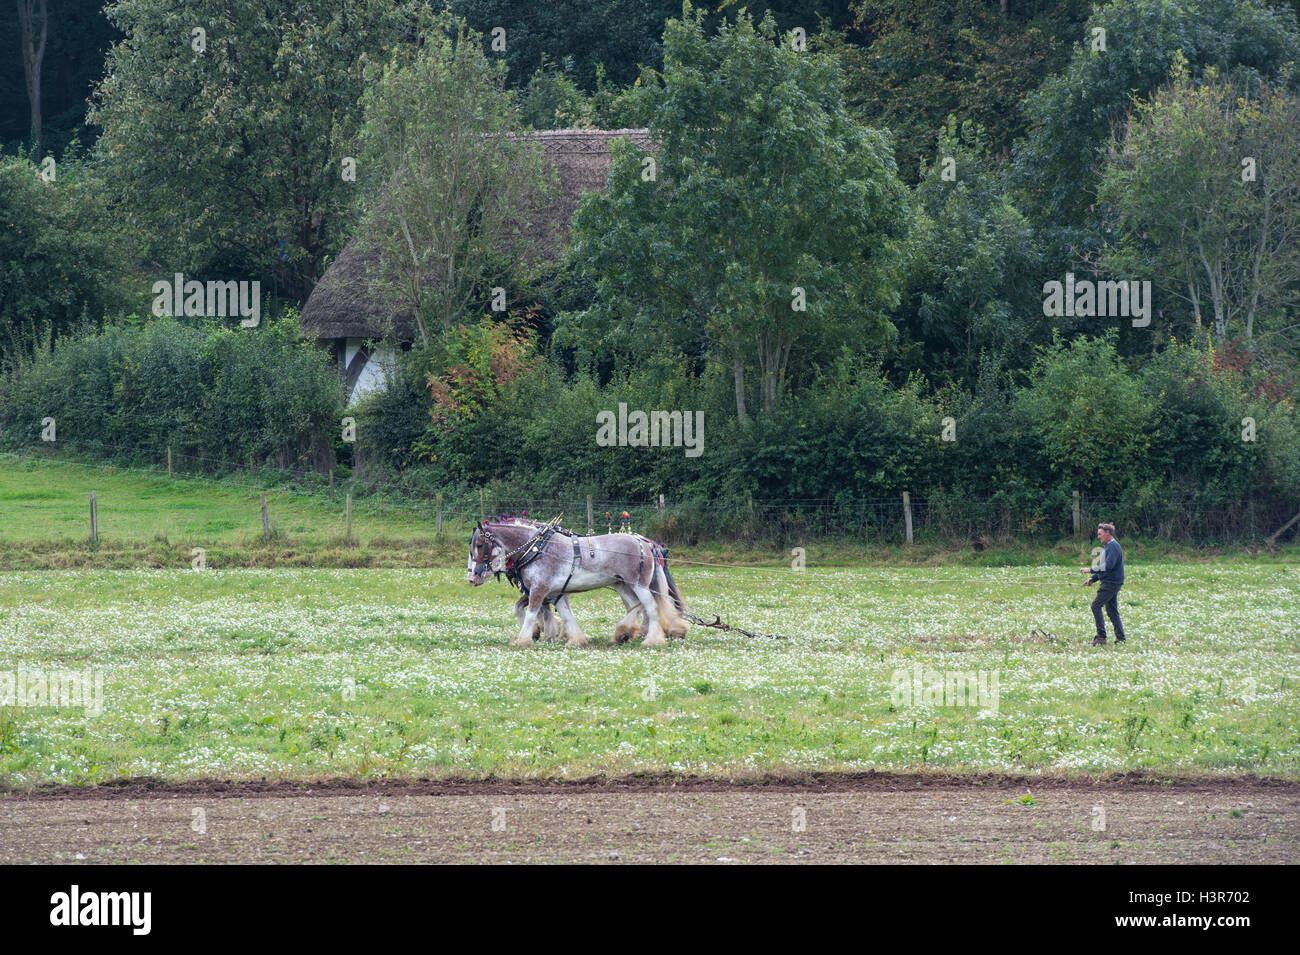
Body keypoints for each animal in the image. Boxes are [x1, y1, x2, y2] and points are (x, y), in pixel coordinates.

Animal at [467, 517, 690, 647]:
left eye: (480, 545)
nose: (472, 577)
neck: (537, 549)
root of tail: (644, 543)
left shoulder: (539, 589)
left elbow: (531, 614)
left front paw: (523, 639)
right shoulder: (555, 593)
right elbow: (565, 615)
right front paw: (575, 639)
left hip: (638, 584)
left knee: (650, 607)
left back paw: (652, 639)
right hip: (622, 584)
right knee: (635, 606)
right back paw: (623, 633)